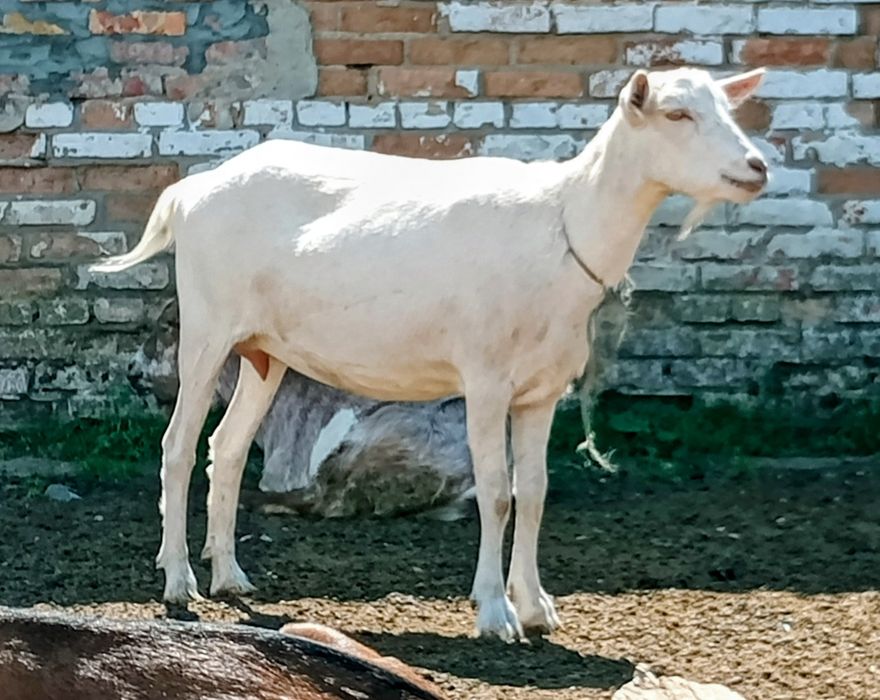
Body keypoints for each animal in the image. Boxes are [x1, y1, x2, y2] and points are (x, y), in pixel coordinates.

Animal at [92, 67, 769, 640]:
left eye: (729, 108)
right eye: (676, 113)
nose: (757, 166)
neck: (563, 225)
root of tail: (192, 189)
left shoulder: (541, 391)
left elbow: (536, 490)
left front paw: (536, 607)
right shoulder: (486, 377)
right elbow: (497, 492)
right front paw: (495, 614)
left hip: (262, 350)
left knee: (227, 449)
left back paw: (231, 576)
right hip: (208, 327)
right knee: (177, 446)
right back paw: (179, 583)